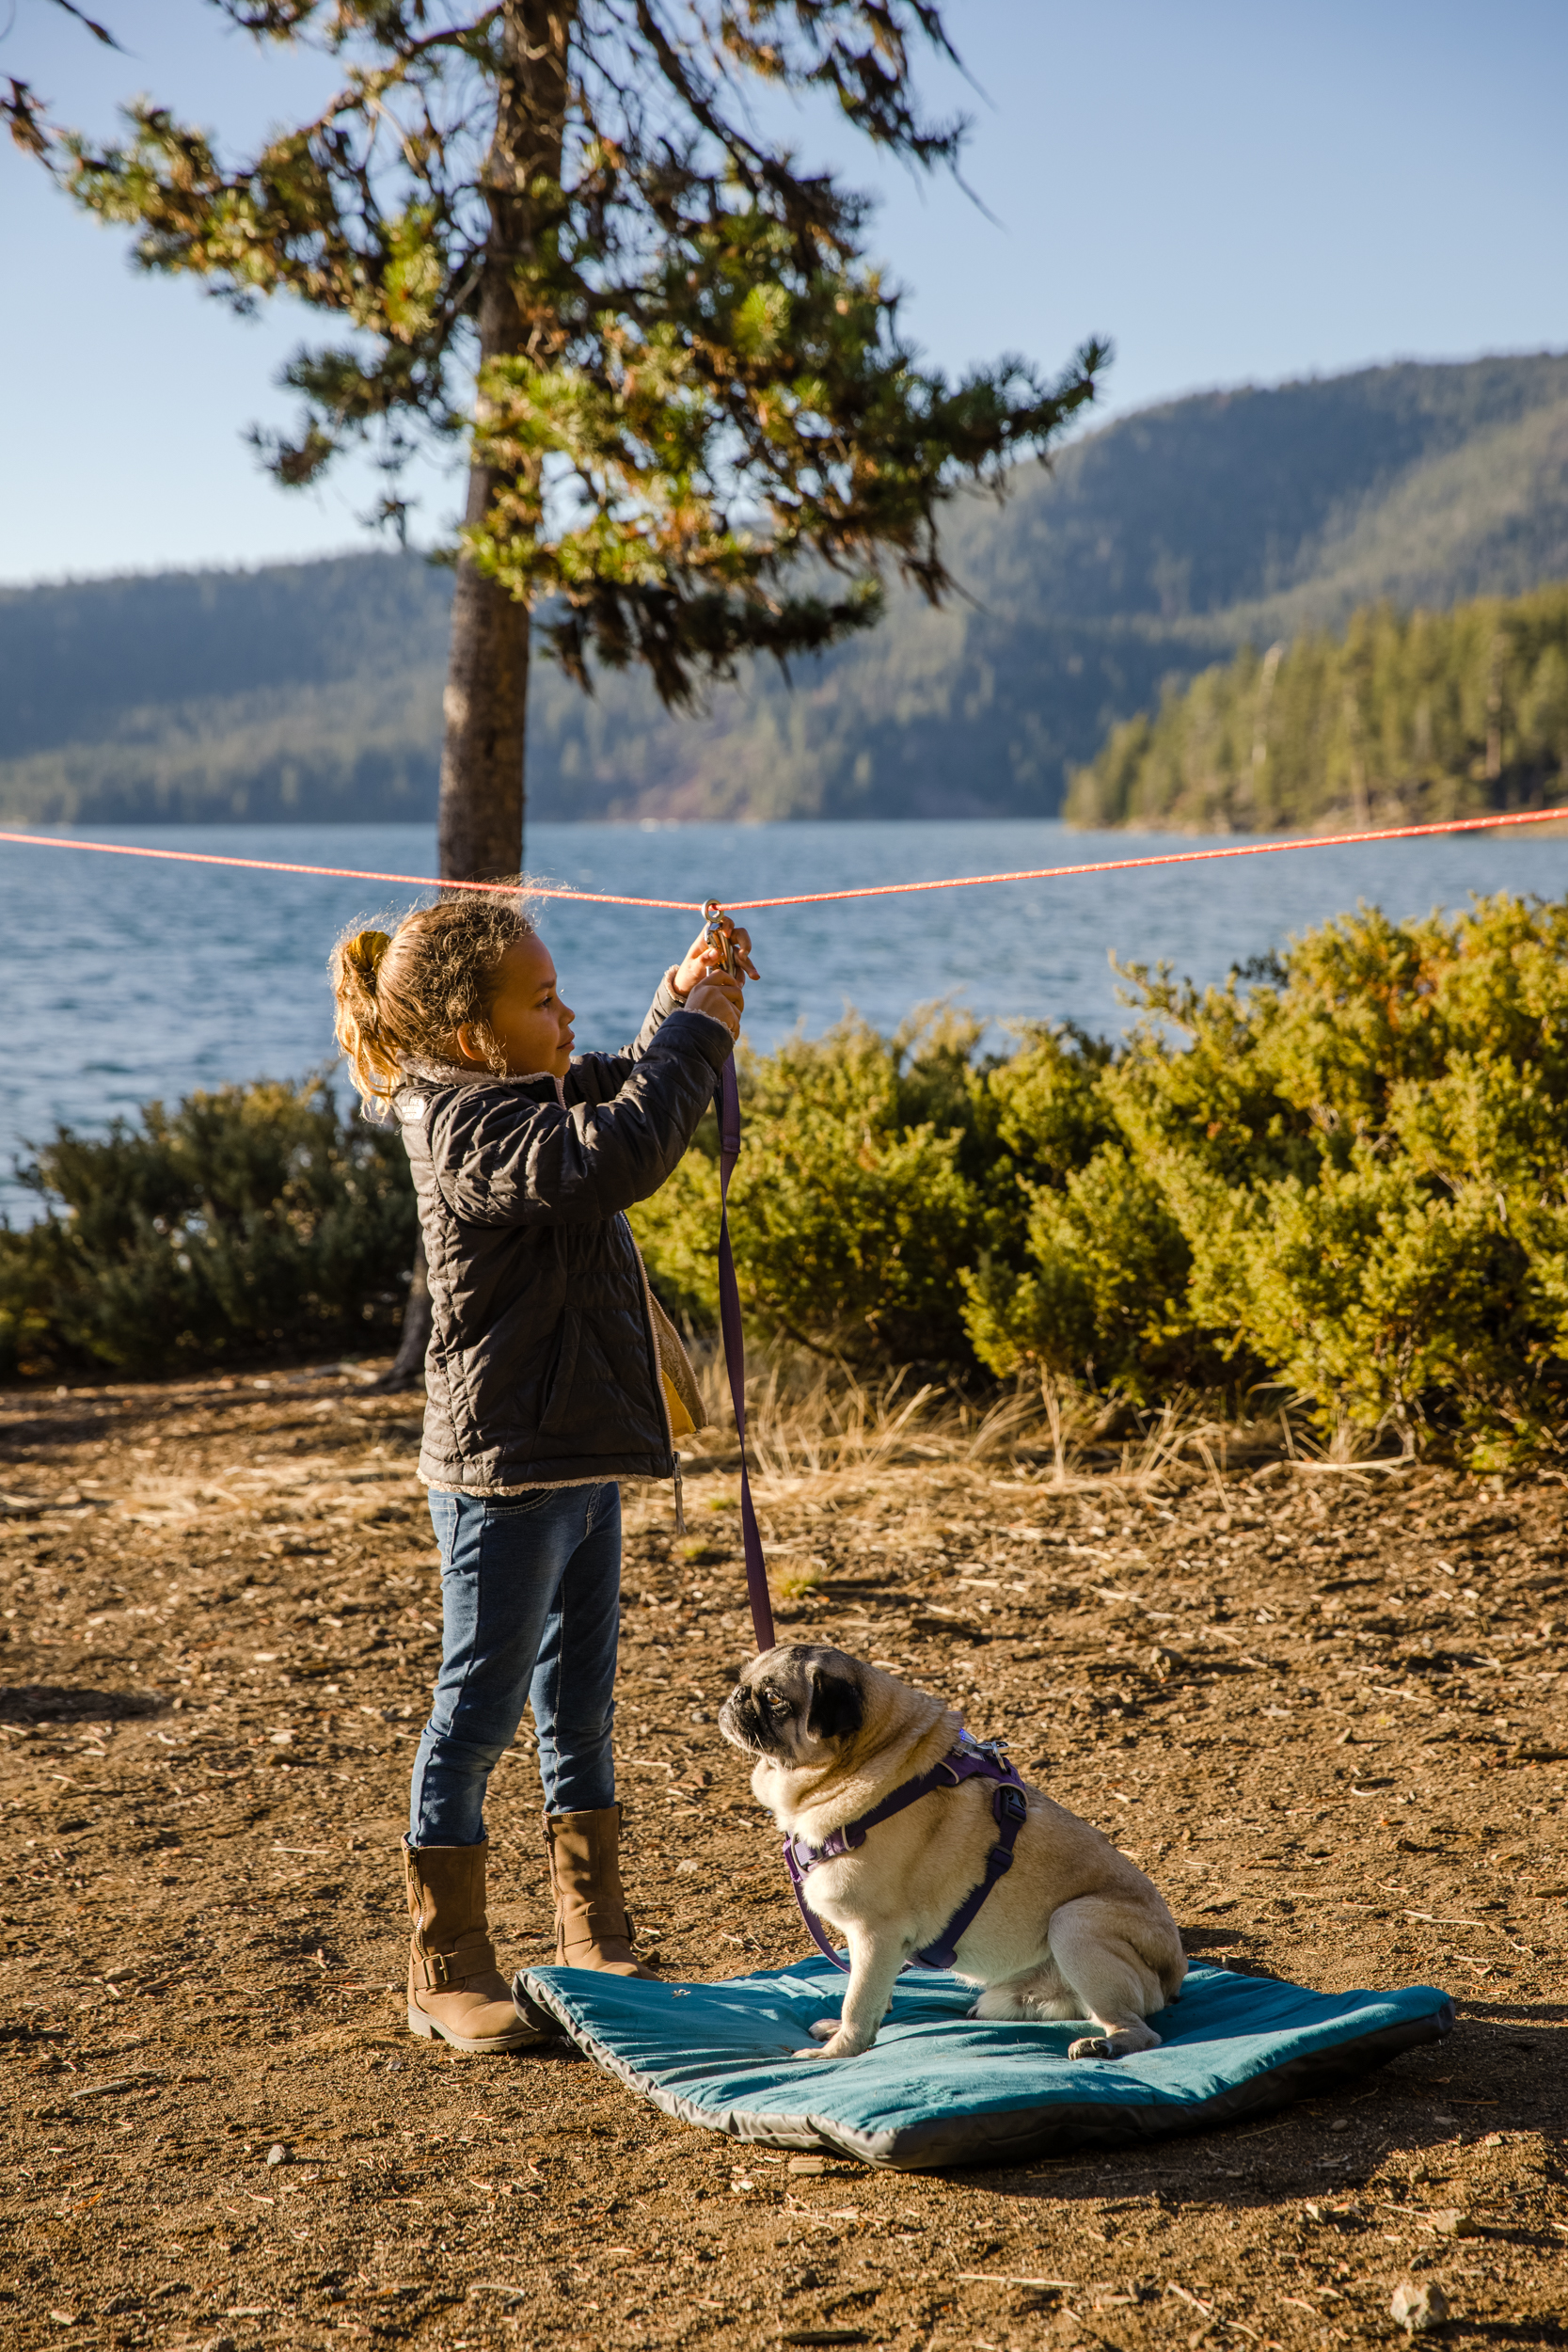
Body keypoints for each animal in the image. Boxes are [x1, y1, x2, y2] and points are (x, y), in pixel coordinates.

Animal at [719, 1646, 1184, 2070]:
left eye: (774, 1698)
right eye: (744, 1681)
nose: (737, 1695)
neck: (867, 1760)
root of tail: (1174, 1976)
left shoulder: (876, 1932)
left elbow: (858, 2000)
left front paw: (839, 2051)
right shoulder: (876, 1945)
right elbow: (869, 1989)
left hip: (1074, 1923)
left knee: (1140, 2029)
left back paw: (1103, 2044)